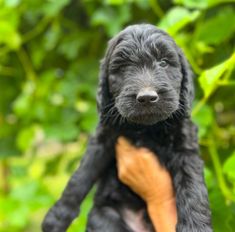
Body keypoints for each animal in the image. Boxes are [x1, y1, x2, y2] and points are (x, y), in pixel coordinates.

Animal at [42, 24, 213, 231]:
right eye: (123, 67)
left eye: (163, 63)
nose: (147, 97)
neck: (145, 128)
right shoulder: (103, 139)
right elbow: (81, 175)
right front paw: (57, 216)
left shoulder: (185, 148)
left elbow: (192, 186)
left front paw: (195, 226)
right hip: (104, 216)